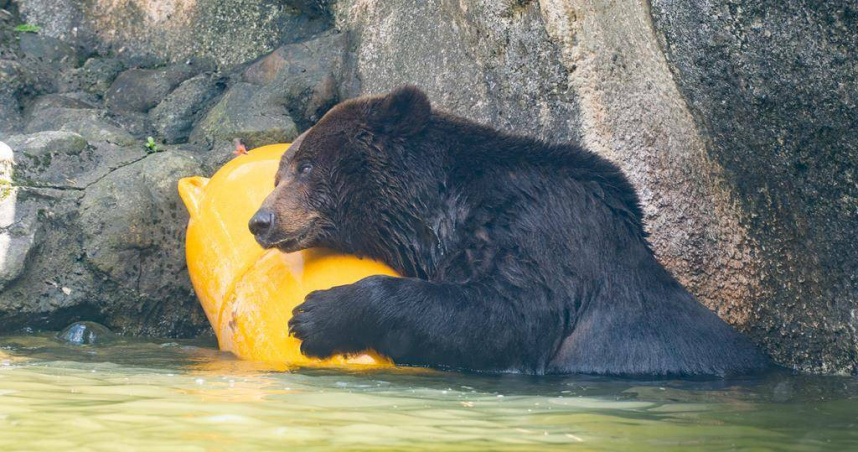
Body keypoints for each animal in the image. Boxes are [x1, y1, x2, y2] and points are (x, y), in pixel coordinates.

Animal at [248, 85, 769, 377]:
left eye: (307, 166)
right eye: (279, 173)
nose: (261, 221)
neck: (441, 212)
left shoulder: (540, 228)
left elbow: (508, 314)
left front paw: (316, 315)